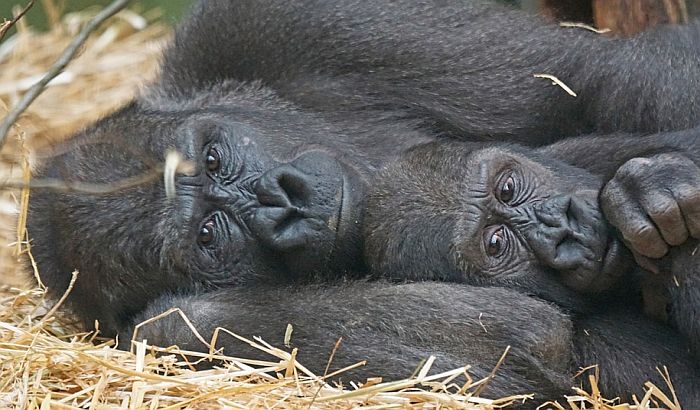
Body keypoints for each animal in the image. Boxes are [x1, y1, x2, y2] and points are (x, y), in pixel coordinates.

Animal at [24, 0, 700, 406]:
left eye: (213, 158)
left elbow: (601, 78)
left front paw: (654, 186)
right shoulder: (153, 338)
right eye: (208, 238)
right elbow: (523, 342)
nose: (284, 201)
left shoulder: (271, 26)